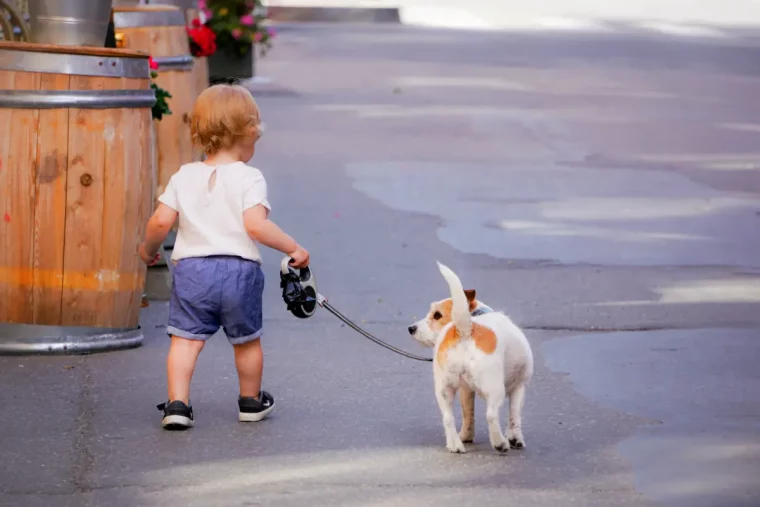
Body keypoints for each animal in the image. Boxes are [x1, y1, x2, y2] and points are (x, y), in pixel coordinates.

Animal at [410, 264, 536, 454]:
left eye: (437, 315)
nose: (411, 328)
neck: (476, 315)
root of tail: (465, 329)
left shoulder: (466, 390)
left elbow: (468, 414)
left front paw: (466, 436)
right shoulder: (519, 386)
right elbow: (514, 416)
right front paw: (516, 439)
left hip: (443, 390)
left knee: (448, 418)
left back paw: (455, 445)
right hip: (495, 388)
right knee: (491, 415)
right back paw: (500, 443)